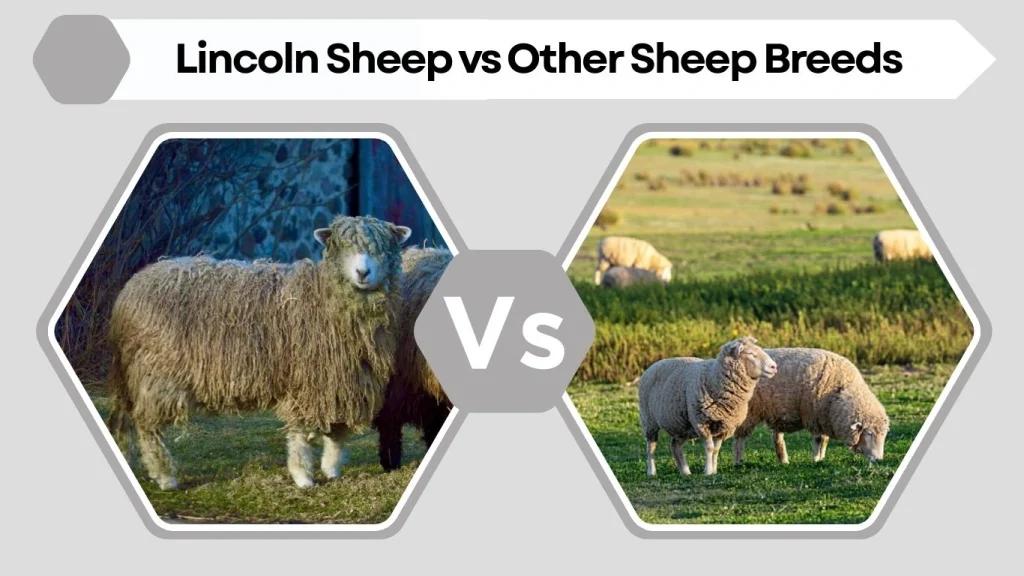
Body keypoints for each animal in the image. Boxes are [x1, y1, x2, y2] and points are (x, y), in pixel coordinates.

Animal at [104, 214, 413, 490]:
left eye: (383, 247)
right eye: (341, 246)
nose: (362, 273)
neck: (324, 297)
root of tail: (128, 291)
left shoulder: (342, 380)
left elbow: (336, 433)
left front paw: (331, 468)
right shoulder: (305, 379)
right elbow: (300, 433)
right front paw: (303, 477)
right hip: (157, 372)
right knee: (147, 425)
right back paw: (165, 476)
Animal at [637, 336, 778, 476]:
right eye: (751, 354)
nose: (774, 367)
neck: (713, 379)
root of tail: (653, 365)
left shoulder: (723, 425)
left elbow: (716, 449)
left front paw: (714, 470)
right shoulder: (701, 422)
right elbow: (710, 448)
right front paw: (708, 471)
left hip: (681, 424)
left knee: (675, 445)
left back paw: (685, 472)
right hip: (649, 420)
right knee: (651, 446)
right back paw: (651, 471)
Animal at [732, 348, 890, 466]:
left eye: (884, 435)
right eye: (869, 434)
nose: (879, 459)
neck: (842, 390)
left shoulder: (824, 417)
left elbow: (825, 440)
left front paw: (822, 458)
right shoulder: (813, 416)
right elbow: (818, 439)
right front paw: (816, 460)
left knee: (777, 438)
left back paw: (784, 460)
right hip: (749, 412)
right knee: (740, 438)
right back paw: (739, 461)